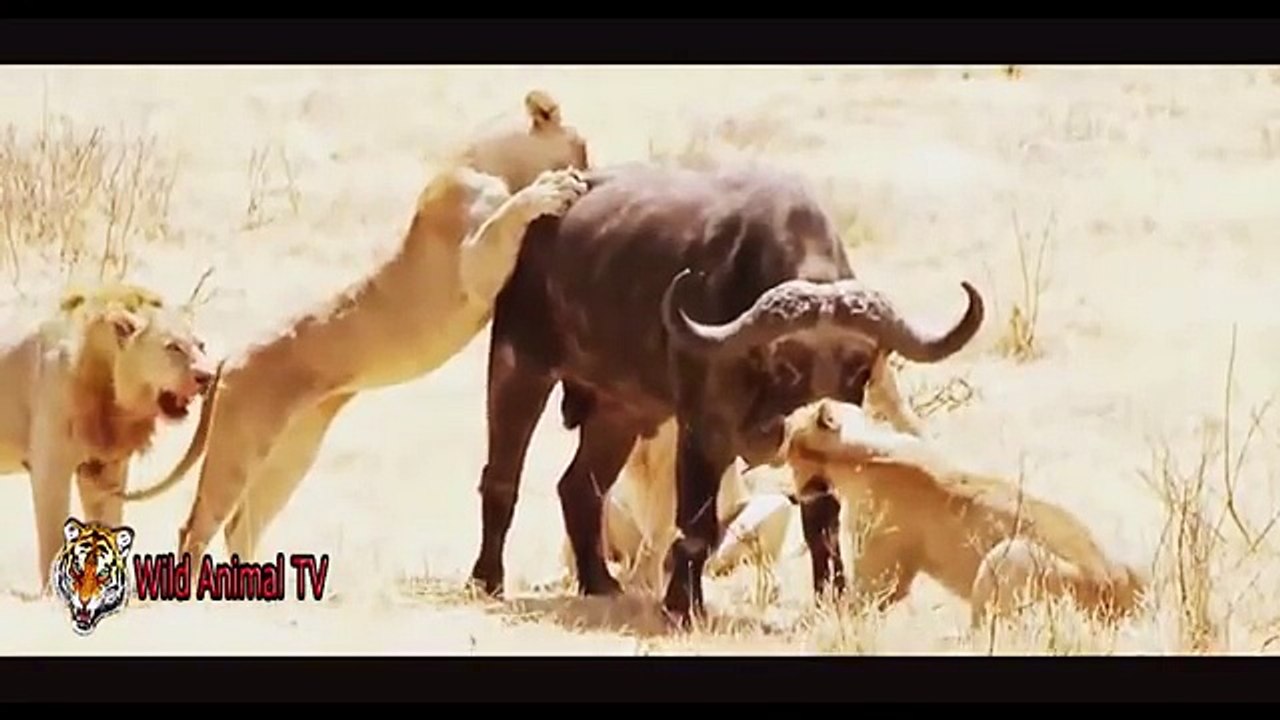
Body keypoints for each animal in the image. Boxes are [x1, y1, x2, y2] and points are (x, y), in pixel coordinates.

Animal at [0, 282, 216, 592]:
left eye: (201, 346)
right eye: (173, 348)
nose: (207, 376)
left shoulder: (108, 465)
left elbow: (108, 525)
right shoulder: (50, 468)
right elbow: (53, 536)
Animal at [120, 90, 593, 563]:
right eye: (584, 147)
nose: (590, 168)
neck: (488, 159)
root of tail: (226, 359)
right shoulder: (475, 263)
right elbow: (509, 214)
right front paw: (551, 188)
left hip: (292, 451)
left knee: (241, 526)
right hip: (241, 444)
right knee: (196, 528)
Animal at [466, 161, 985, 625]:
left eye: (858, 366)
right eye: (787, 364)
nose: (820, 412)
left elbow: (823, 519)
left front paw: (832, 597)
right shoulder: (703, 429)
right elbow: (696, 524)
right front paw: (683, 606)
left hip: (621, 409)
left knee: (579, 487)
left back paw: (600, 583)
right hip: (520, 365)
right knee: (502, 477)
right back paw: (488, 579)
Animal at [781, 399, 1149, 629]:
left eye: (787, 440)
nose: (793, 495)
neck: (860, 452)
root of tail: (1113, 583)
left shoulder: (879, 585)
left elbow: (843, 612)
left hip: (1004, 556)